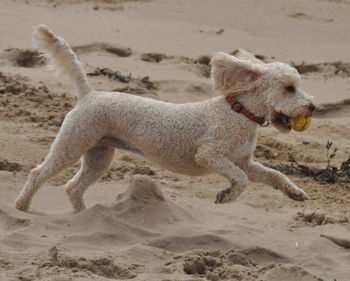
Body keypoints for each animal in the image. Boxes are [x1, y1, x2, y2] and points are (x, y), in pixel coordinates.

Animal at [14, 25, 314, 212]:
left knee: (73, 188)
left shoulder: (243, 162)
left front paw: (295, 192)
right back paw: (22, 206)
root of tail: (89, 94)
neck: (237, 112)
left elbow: (273, 174)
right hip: (72, 142)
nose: (311, 107)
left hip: (99, 155)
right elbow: (240, 180)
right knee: (38, 173)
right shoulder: (210, 155)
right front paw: (226, 195)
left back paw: (83, 215)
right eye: (289, 88)